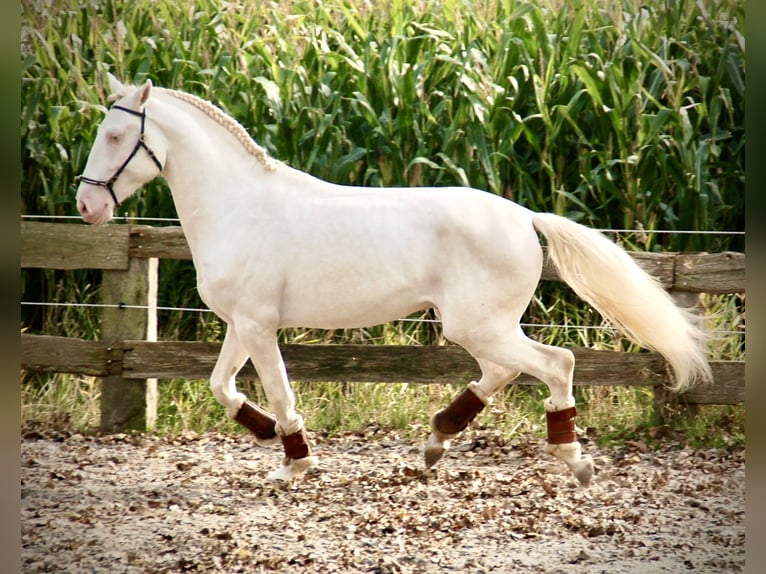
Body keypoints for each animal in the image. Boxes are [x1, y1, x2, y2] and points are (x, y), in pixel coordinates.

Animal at [75, 76, 712, 488]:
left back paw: (574, 461)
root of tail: (526, 217)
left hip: (477, 324)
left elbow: (277, 391)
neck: (239, 207)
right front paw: (268, 439)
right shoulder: (244, 323)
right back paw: (434, 443)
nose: (86, 206)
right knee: (503, 372)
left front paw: (295, 461)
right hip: (480, 326)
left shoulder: (258, 325)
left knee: (556, 364)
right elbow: (222, 387)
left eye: (115, 137)